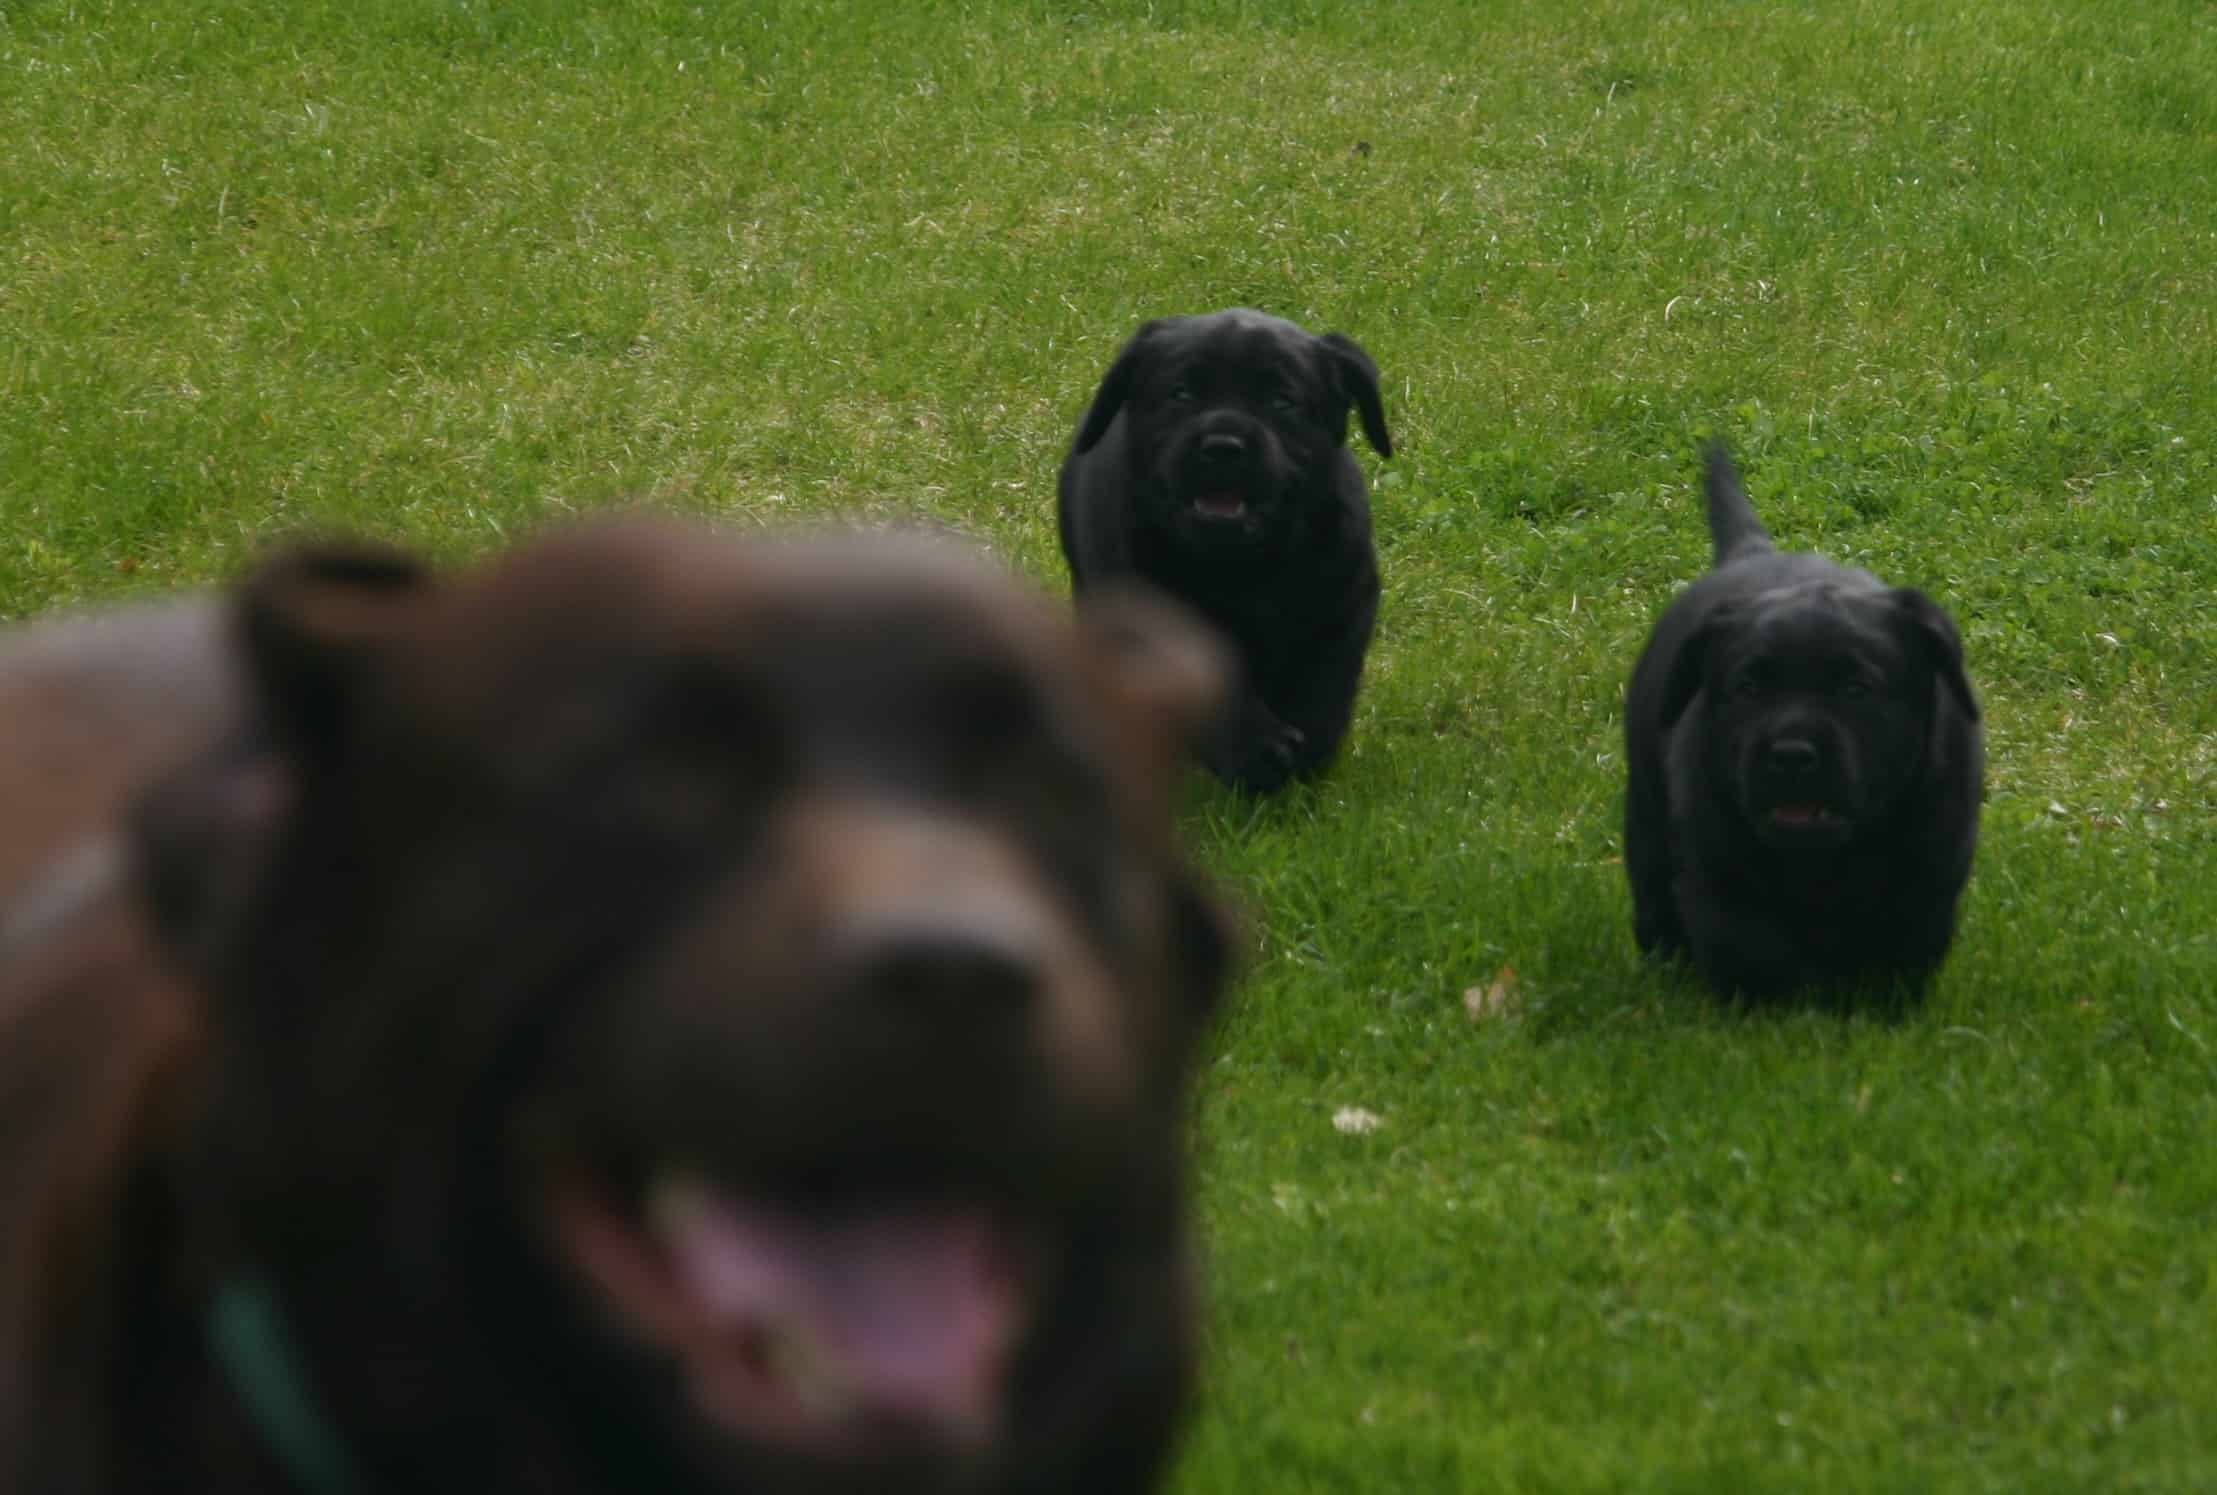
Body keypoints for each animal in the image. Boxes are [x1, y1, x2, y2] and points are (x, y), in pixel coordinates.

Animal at [1050, 303, 1383, 789]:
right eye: (1182, 394)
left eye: (1281, 402)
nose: (1223, 446)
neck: (1244, 566)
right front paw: (1256, 751)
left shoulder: (1346, 603)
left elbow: (1324, 680)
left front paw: (1307, 754)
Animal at [1622, 443, 1986, 1002]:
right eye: (1749, 688)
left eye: (1856, 689)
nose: (1791, 755)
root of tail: (1753, 552)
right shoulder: (1719, 869)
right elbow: (1751, 947)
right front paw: (1778, 1012)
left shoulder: (1932, 866)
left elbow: (1901, 945)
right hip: (1645, 807)